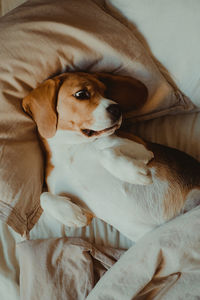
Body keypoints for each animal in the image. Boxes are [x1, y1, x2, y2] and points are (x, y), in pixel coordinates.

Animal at [21, 72, 200, 241]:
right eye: (81, 94)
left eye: (106, 91)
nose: (117, 109)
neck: (70, 150)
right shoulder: (87, 211)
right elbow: (43, 196)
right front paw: (71, 215)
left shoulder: (143, 149)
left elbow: (105, 152)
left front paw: (135, 174)